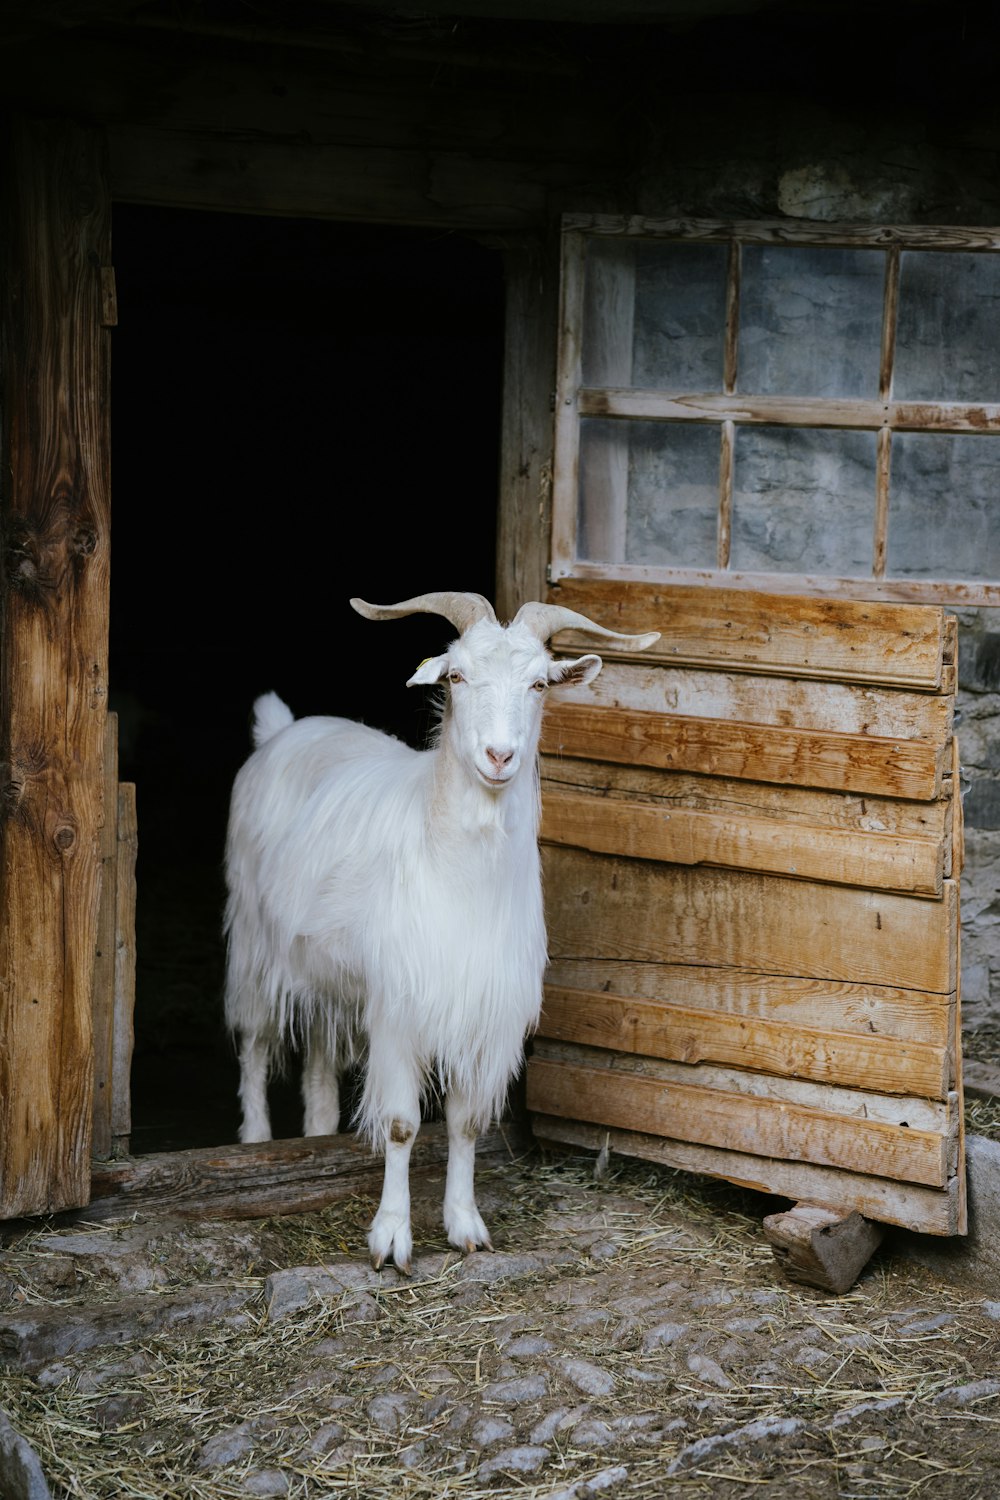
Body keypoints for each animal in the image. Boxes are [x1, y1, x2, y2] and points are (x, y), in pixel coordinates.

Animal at [223, 591, 659, 1272]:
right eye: (455, 676)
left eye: (539, 683)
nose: (500, 757)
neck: (463, 877)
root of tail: (283, 729)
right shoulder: (400, 1009)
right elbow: (403, 1124)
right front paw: (391, 1239)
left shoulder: (481, 1012)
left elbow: (465, 1123)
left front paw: (465, 1225)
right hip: (253, 941)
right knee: (254, 1041)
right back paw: (256, 1141)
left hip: (329, 972)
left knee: (318, 1058)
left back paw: (316, 1133)